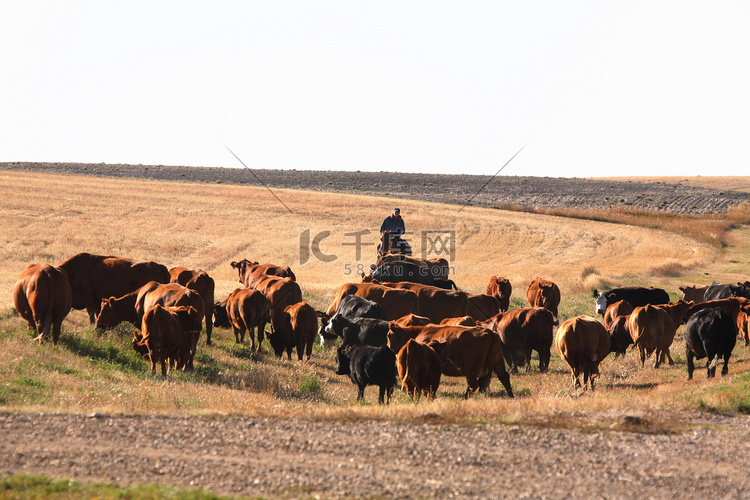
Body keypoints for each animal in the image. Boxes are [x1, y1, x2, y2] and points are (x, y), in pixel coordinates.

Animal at [388, 324, 516, 398]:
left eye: (388, 336)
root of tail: (489, 332)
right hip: (497, 362)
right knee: (503, 377)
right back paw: (511, 395)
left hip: (472, 369)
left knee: (473, 385)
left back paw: (465, 397)